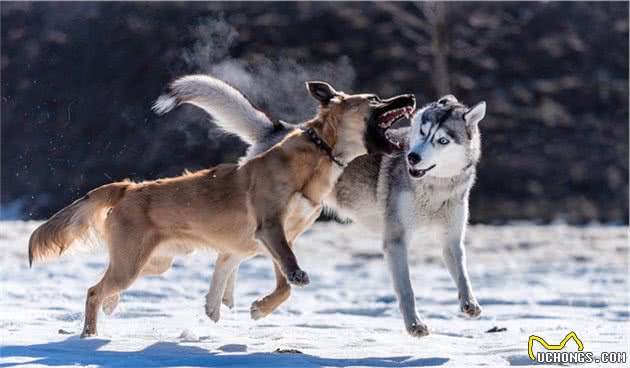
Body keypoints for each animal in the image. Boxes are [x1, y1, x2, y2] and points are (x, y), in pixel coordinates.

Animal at [27, 75, 418, 336]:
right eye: (375, 98)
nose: (410, 95)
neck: (318, 153)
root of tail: (128, 188)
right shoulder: (270, 228)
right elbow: (290, 274)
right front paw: (271, 298)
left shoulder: (279, 237)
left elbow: (285, 284)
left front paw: (261, 308)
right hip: (132, 263)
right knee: (94, 290)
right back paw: (89, 333)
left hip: (155, 262)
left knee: (109, 287)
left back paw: (111, 307)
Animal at [205, 91, 486, 336]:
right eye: (423, 132)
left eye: (442, 141)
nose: (412, 157)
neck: (436, 188)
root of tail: (281, 128)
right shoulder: (396, 241)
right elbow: (407, 290)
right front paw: (415, 325)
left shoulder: (451, 239)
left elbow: (463, 275)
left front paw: (469, 303)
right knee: (231, 254)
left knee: (231, 257)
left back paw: (222, 302)